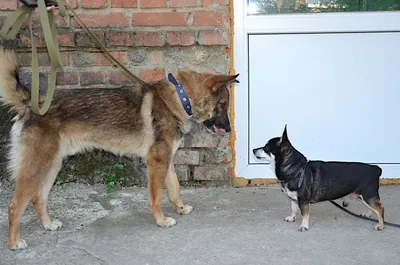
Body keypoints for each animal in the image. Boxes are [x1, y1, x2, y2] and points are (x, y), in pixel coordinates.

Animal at [0, 48, 239, 250]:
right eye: (222, 105)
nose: (229, 129)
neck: (180, 98)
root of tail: (30, 104)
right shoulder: (156, 163)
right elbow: (156, 197)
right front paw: (161, 220)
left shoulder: (166, 161)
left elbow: (175, 188)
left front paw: (180, 208)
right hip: (36, 167)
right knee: (14, 206)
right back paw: (14, 243)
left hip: (52, 165)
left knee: (38, 199)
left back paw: (48, 225)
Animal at [253, 125, 384, 230]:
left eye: (266, 148)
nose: (253, 150)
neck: (297, 170)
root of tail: (376, 168)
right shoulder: (294, 199)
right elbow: (294, 209)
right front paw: (291, 217)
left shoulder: (303, 201)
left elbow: (304, 214)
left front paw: (304, 226)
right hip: (364, 196)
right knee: (372, 207)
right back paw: (367, 214)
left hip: (368, 195)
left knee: (380, 209)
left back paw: (381, 225)